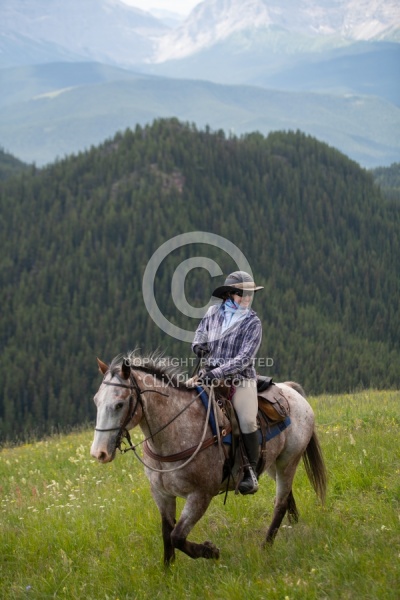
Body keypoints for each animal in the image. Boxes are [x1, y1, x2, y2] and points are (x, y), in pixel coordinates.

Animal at [91, 350, 328, 564]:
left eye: (119, 404)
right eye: (96, 401)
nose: (99, 453)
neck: (176, 431)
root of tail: (291, 391)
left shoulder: (200, 495)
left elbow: (177, 536)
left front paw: (211, 551)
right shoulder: (161, 494)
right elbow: (167, 535)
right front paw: (168, 573)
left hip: (289, 461)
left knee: (280, 503)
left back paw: (266, 546)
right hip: (271, 463)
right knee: (287, 497)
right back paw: (293, 525)